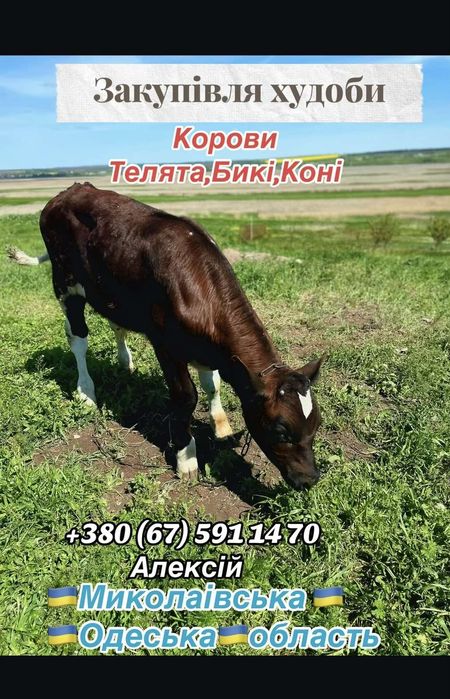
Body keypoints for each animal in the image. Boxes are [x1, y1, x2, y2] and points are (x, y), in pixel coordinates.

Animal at [8, 183, 324, 489]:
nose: (310, 479)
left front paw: (221, 425)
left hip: (110, 293)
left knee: (115, 326)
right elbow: (186, 397)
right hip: (66, 284)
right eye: (280, 430)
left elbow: (213, 385)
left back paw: (125, 362)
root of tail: (67, 192)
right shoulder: (166, 345)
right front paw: (187, 457)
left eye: (317, 424)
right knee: (77, 339)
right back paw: (86, 391)